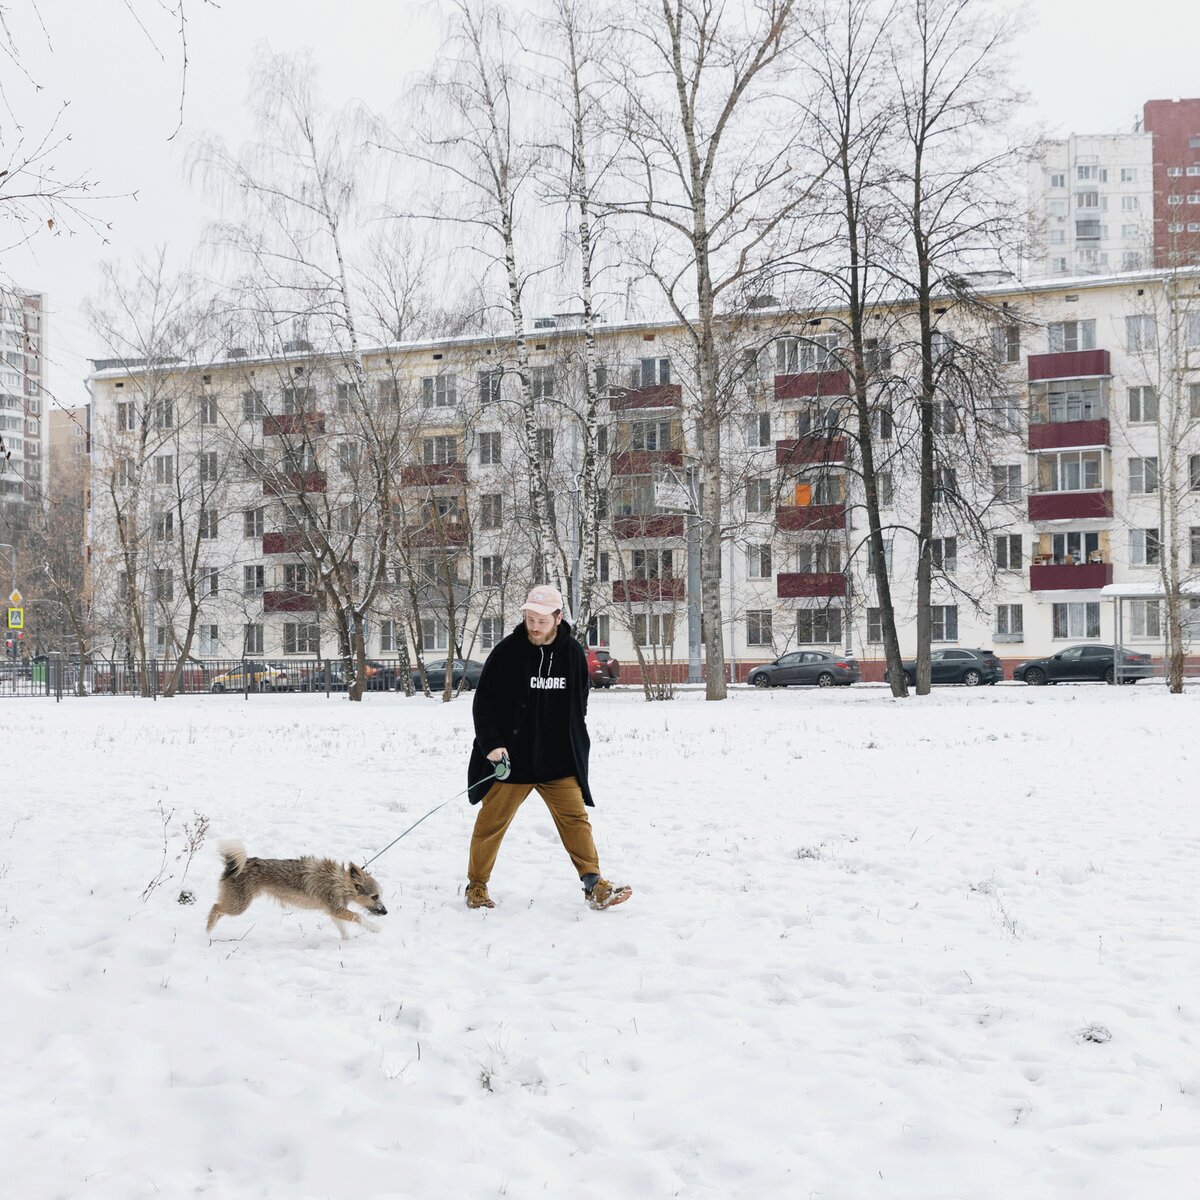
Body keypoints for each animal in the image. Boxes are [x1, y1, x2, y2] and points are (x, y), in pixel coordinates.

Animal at [206, 840, 388, 940]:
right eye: (374, 896)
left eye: (379, 895)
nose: (385, 912)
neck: (340, 882)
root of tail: (236, 865)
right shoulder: (336, 909)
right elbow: (358, 916)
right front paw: (375, 927)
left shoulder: (334, 911)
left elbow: (343, 928)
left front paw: (347, 940)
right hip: (239, 905)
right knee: (215, 908)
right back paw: (208, 932)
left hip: (235, 901)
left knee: (218, 910)